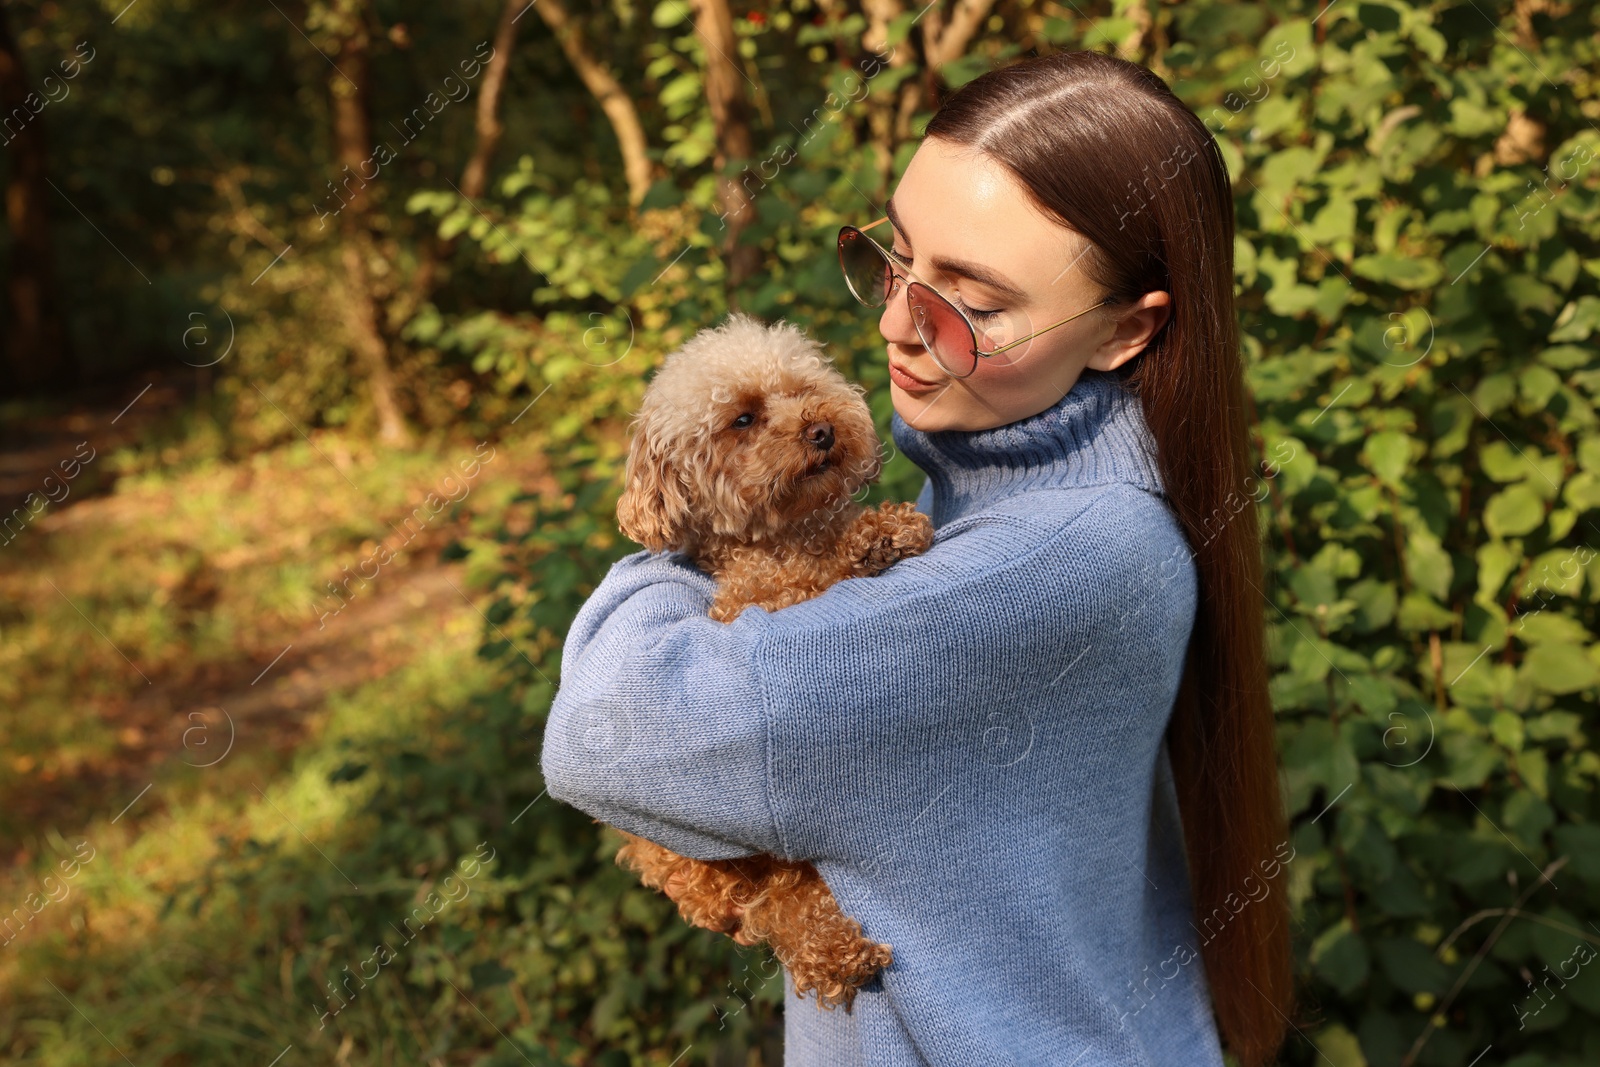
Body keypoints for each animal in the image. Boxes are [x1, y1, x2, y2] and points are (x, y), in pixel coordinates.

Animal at [611, 313, 934, 1017]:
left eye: (801, 389)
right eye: (743, 419)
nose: (823, 430)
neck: (784, 532)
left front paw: (883, 528)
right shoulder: (748, 604)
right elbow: (806, 577)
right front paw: (868, 539)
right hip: (715, 859)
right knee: (777, 902)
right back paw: (833, 953)